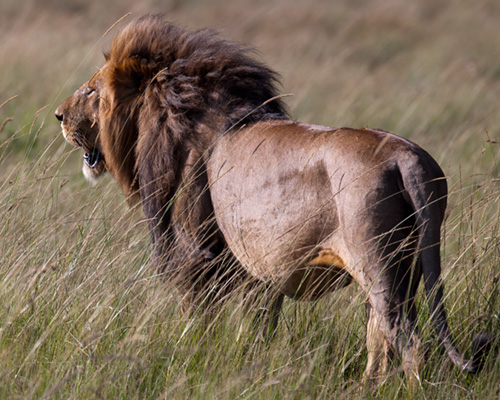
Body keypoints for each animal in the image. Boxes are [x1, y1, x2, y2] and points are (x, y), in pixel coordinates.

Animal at [55, 14, 488, 380]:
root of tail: (408, 158)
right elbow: (258, 328)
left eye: (91, 91)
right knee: (380, 342)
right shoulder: (259, 269)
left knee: (410, 344)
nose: (58, 115)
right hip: (409, 268)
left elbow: (198, 321)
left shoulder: (196, 255)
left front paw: (191, 359)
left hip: (377, 266)